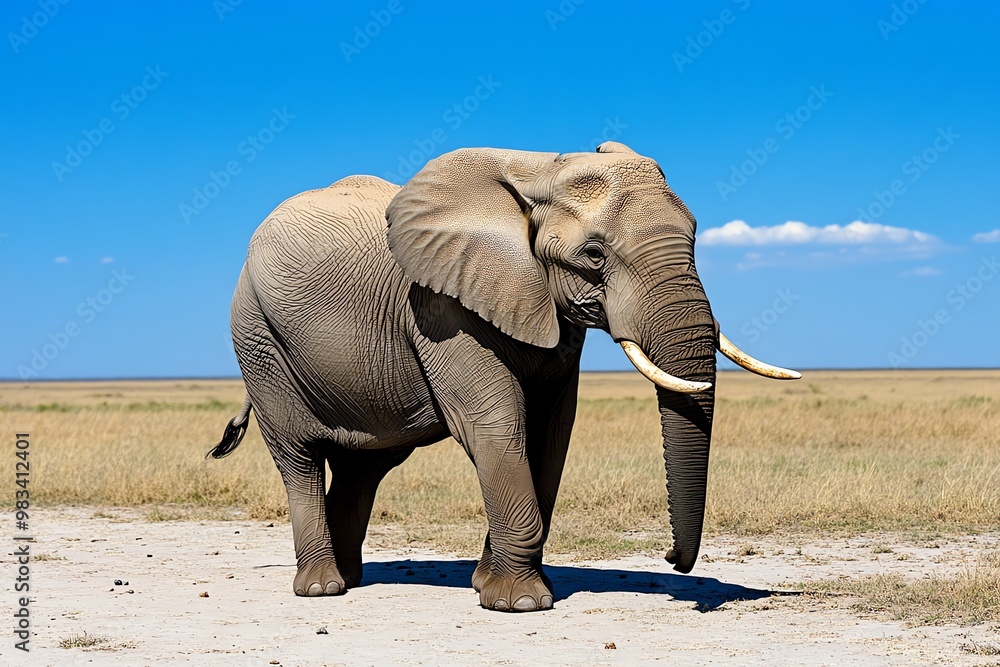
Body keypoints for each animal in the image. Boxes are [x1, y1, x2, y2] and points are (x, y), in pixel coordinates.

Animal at [209, 141, 800, 612]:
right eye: (594, 254)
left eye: (696, 237)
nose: (673, 558)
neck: (540, 169)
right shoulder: (441, 306)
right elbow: (496, 424)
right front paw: (521, 604)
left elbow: (550, 433)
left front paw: (487, 586)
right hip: (257, 337)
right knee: (300, 457)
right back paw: (322, 588)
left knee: (366, 465)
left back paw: (351, 579)